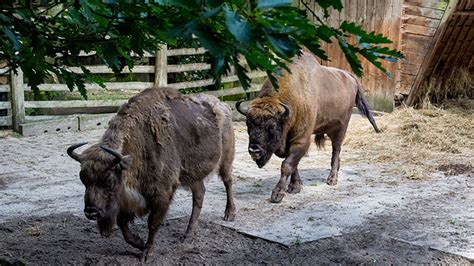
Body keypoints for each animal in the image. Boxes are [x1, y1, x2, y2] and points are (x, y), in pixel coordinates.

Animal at [66, 87, 237, 260]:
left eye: (109, 181)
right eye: (83, 180)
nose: (91, 212)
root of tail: (222, 105)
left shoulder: (162, 193)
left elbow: (153, 223)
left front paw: (147, 252)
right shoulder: (125, 200)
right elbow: (123, 224)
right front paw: (139, 243)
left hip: (225, 159)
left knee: (227, 181)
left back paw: (229, 214)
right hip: (193, 175)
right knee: (199, 195)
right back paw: (188, 235)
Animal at [237, 48, 382, 203]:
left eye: (272, 127)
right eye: (248, 125)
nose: (254, 150)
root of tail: (349, 76)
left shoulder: (301, 140)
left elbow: (287, 165)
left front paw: (277, 194)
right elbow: (293, 165)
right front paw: (295, 186)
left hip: (341, 128)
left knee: (336, 150)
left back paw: (332, 179)